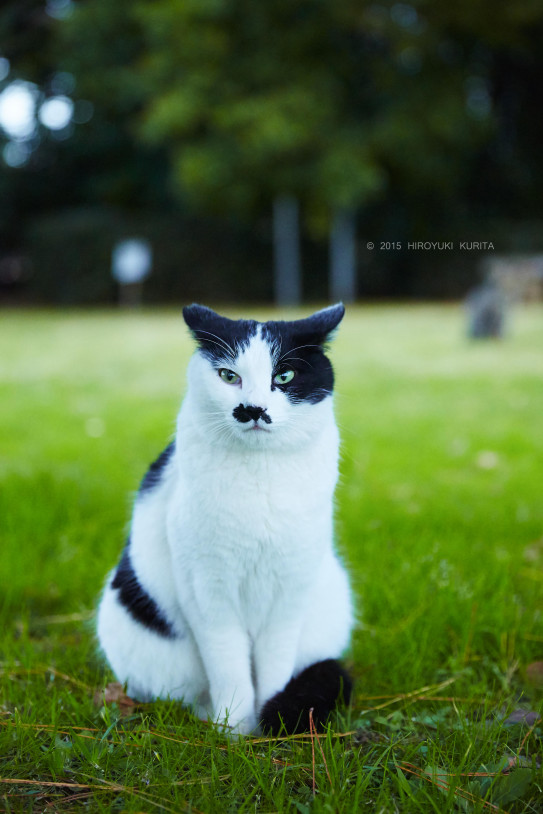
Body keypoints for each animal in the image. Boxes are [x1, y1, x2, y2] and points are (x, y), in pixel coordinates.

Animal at [96, 302, 352, 736]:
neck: (259, 479)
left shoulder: (290, 588)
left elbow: (276, 667)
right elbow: (228, 666)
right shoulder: (206, 590)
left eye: (284, 376)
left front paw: (267, 725)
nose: (253, 409)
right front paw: (233, 732)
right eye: (228, 376)